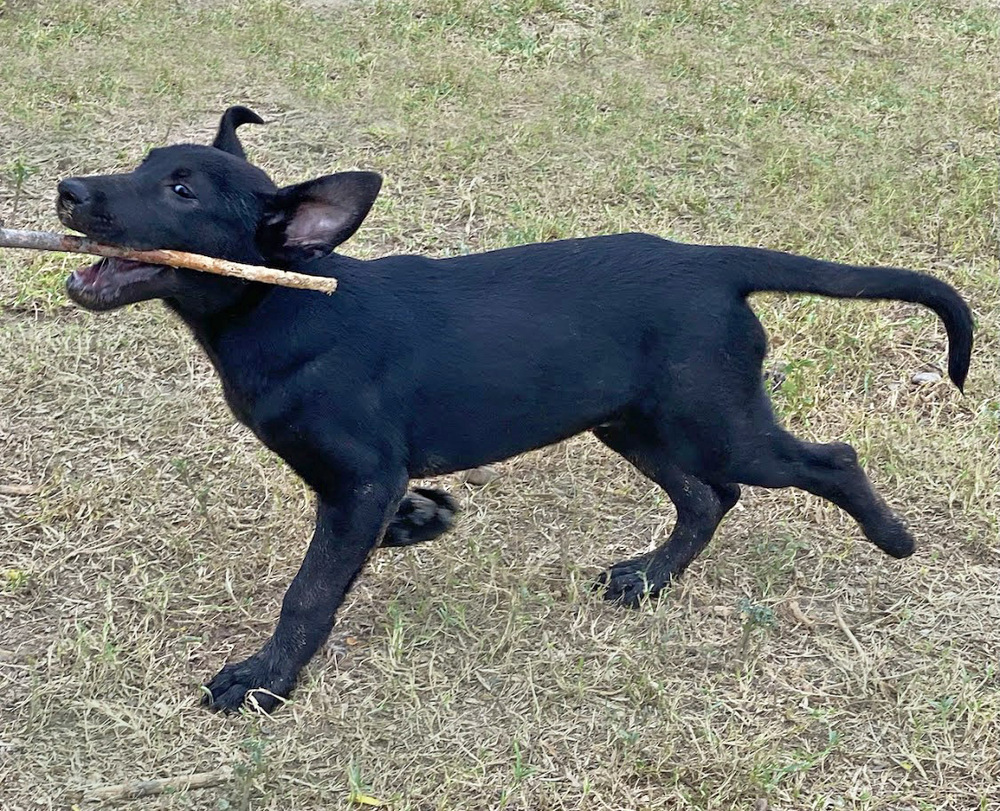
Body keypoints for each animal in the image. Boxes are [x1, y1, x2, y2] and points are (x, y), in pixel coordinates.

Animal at [56, 106, 968, 712]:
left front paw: (262, 681)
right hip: (632, 421)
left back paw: (892, 539)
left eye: (180, 190)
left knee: (824, 460)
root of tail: (711, 262)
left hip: (720, 423)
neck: (282, 304)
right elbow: (371, 537)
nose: (67, 189)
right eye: (144, 163)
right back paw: (649, 577)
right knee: (709, 496)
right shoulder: (363, 485)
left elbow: (309, 591)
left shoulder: (359, 478)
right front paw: (424, 520)